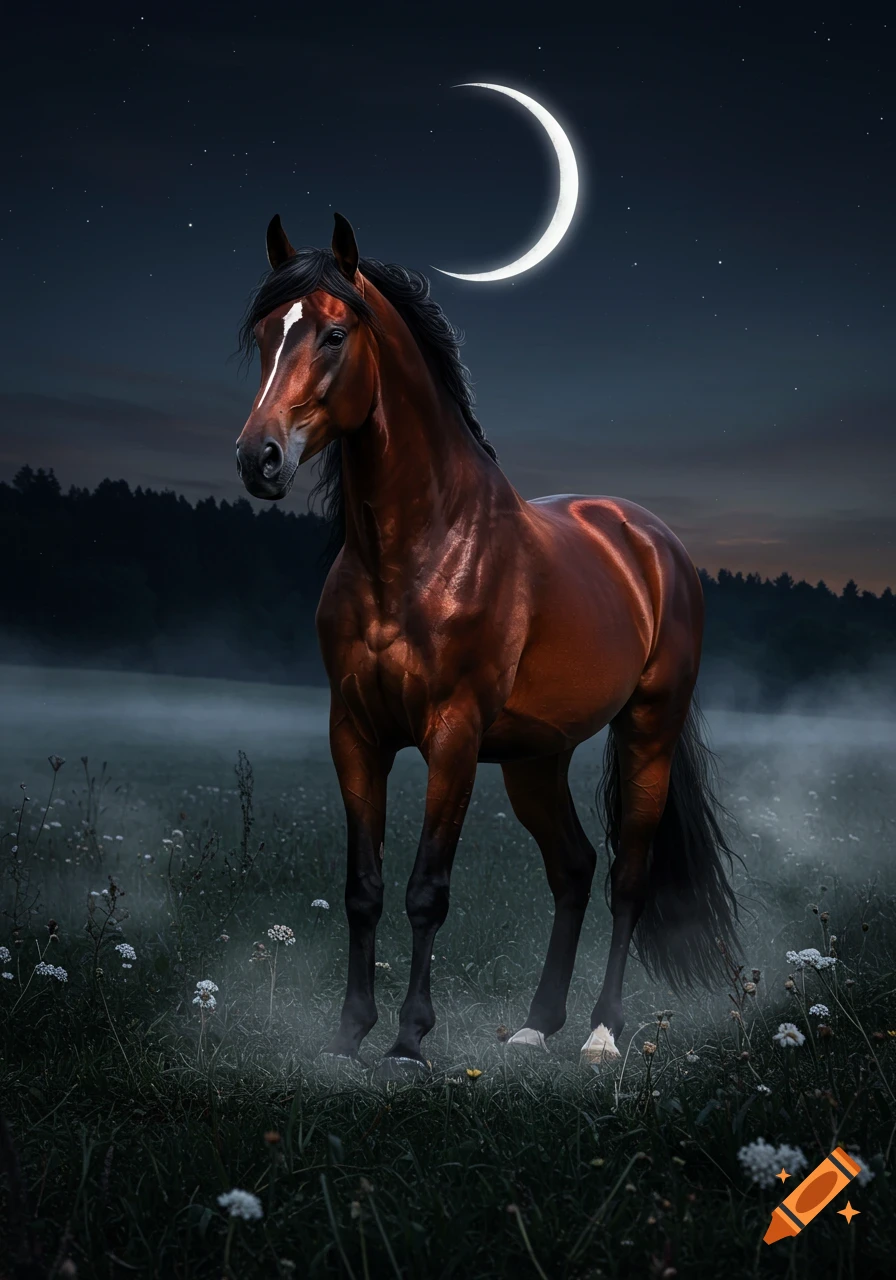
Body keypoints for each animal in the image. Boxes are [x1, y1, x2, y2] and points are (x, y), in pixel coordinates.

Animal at [234, 212, 739, 1072]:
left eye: (333, 334)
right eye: (266, 335)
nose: (257, 459)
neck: (420, 548)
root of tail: (651, 539)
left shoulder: (453, 737)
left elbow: (426, 891)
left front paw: (409, 1042)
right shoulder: (354, 733)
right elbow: (363, 888)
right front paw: (348, 1036)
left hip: (647, 733)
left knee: (627, 879)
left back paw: (601, 1034)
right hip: (537, 759)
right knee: (573, 868)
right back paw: (537, 1025)